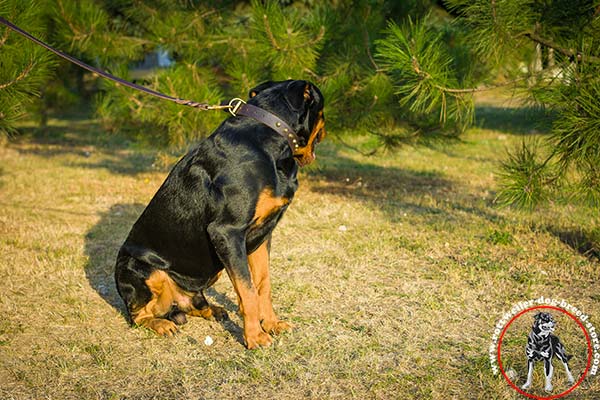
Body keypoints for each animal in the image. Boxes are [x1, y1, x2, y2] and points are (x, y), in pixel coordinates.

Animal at [114, 79, 326, 348]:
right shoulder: (227, 232)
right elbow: (247, 290)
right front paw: (255, 337)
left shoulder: (261, 236)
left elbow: (262, 284)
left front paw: (272, 324)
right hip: (140, 269)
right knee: (137, 315)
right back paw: (161, 324)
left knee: (193, 303)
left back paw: (212, 310)